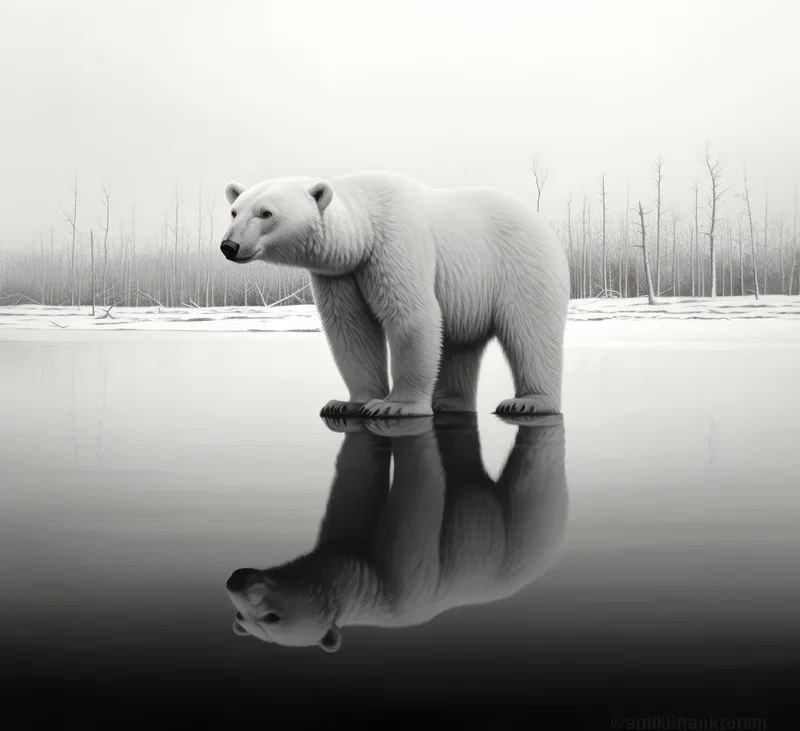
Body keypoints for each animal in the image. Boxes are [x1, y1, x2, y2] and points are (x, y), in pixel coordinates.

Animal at [220, 171, 570, 418]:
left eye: (266, 213)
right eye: (235, 211)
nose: (229, 246)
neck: (364, 227)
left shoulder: (394, 243)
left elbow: (411, 317)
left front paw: (395, 405)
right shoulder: (341, 274)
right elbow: (351, 328)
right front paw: (347, 404)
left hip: (523, 265)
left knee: (531, 331)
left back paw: (528, 402)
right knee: (458, 346)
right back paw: (447, 402)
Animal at [226, 413, 569, 652]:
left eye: (272, 617)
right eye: (241, 617)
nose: (236, 580)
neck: (371, 586)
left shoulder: (405, 575)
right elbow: (359, 486)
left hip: (523, 533)